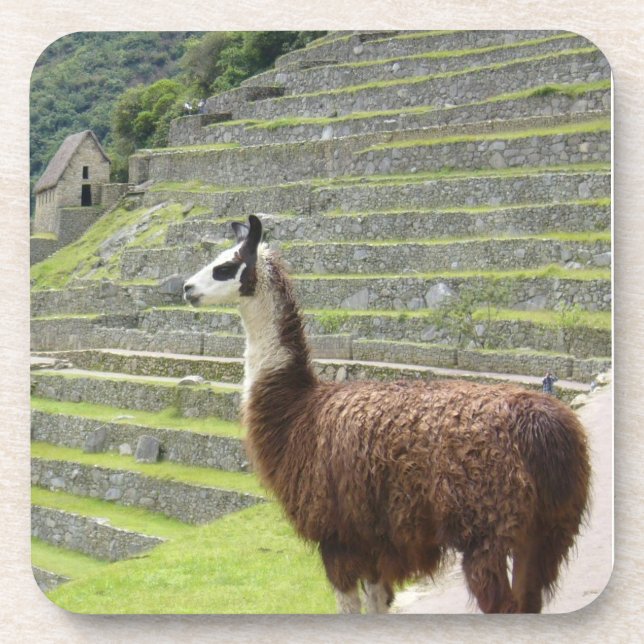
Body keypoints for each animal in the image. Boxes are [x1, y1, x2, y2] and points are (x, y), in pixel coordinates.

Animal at [183, 214, 591, 614]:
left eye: (225, 266)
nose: (186, 288)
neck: (297, 409)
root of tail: (541, 425)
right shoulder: (375, 537)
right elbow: (378, 602)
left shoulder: (336, 534)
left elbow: (349, 607)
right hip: (549, 528)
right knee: (529, 599)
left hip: (487, 526)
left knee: (504, 604)